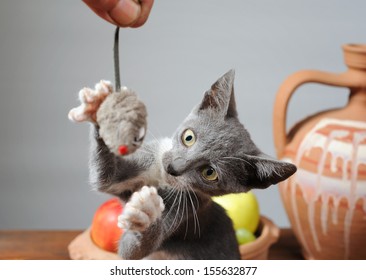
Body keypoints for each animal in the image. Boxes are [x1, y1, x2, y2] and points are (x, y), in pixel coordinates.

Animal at [76, 70, 296, 260]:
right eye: (188, 137)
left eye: (209, 172)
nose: (173, 168)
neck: (159, 180)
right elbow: (105, 179)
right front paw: (98, 107)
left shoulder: (185, 211)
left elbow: (131, 251)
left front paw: (145, 216)